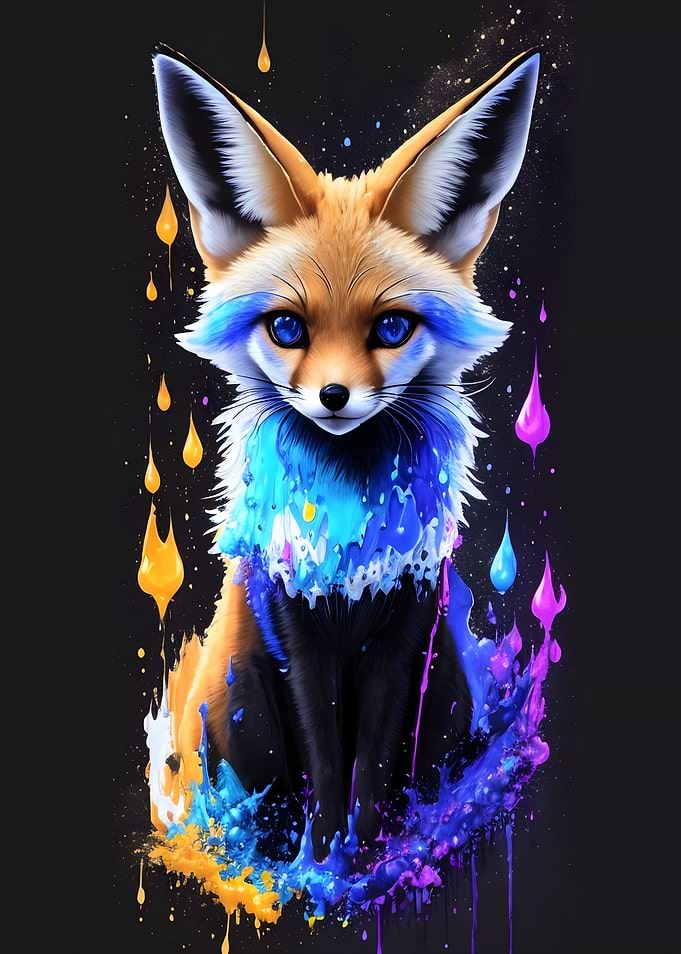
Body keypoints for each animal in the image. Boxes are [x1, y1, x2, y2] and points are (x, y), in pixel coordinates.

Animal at [151, 46, 540, 861]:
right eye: (287, 329)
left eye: (391, 329)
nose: (334, 397)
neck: (350, 539)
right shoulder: (294, 625)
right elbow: (326, 762)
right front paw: (326, 862)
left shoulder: (407, 622)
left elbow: (370, 765)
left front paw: (366, 855)